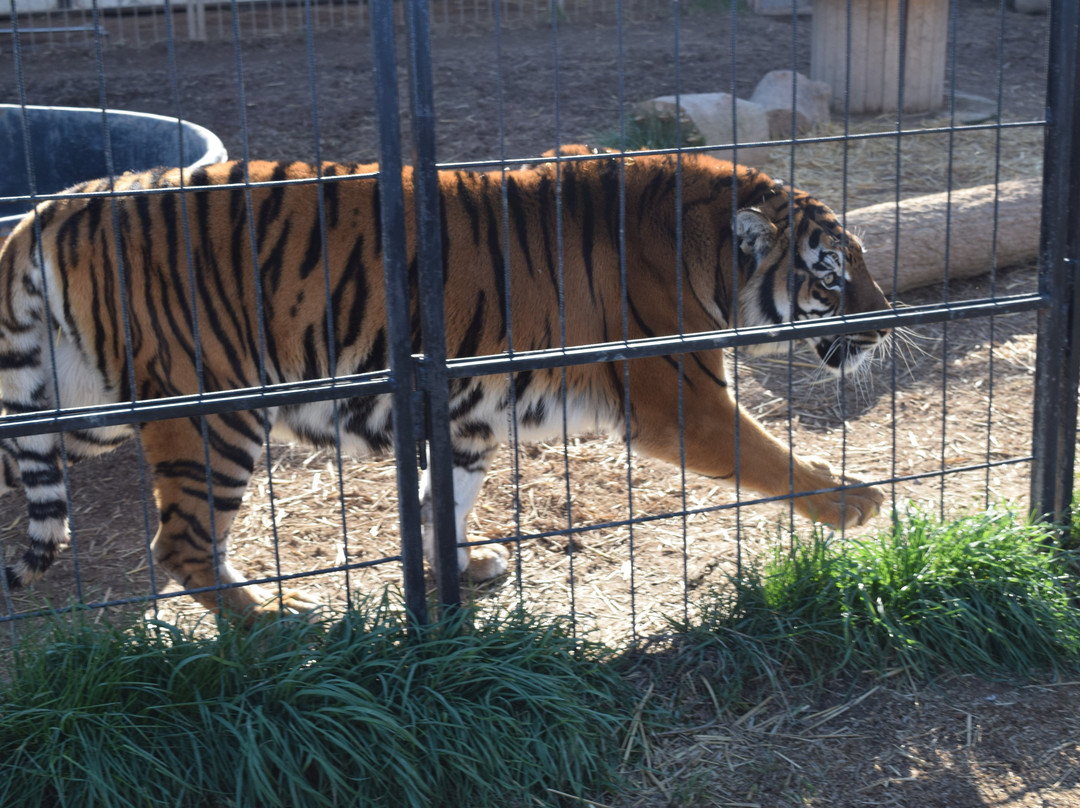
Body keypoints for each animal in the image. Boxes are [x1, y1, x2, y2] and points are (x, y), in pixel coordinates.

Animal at [0, 150, 889, 617]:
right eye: (832, 275)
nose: (887, 322)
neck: (703, 251)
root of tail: (58, 204)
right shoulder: (679, 396)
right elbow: (766, 455)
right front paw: (853, 501)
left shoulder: (467, 417)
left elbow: (444, 503)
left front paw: (463, 571)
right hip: (209, 412)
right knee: (182, 541)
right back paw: (274, 625)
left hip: (85, 404)